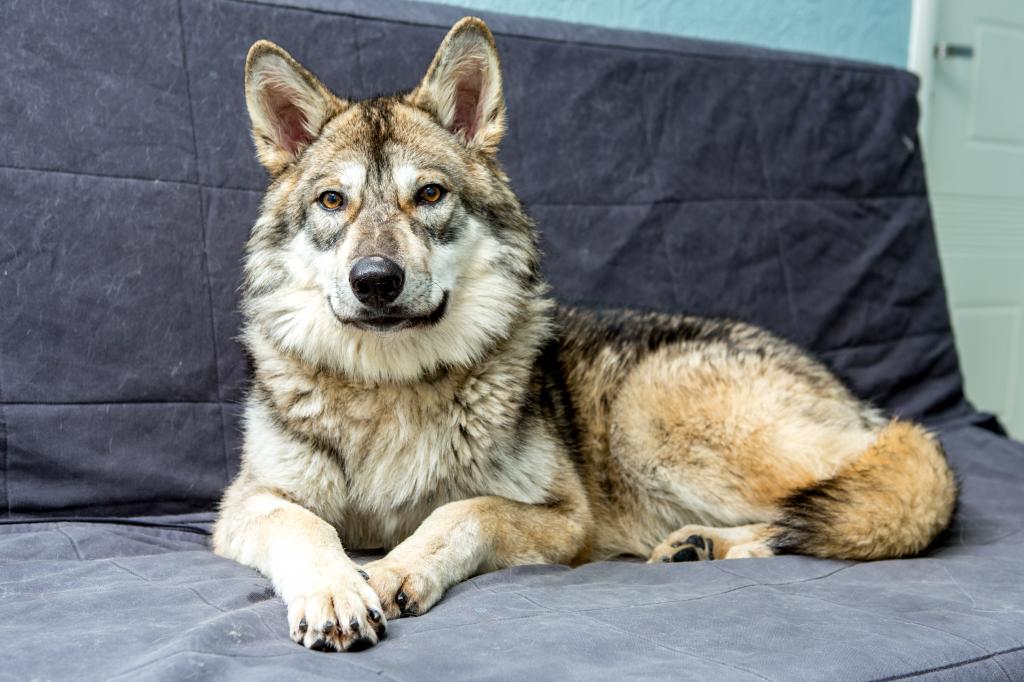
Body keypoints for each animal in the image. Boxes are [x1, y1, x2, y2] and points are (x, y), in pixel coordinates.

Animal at [212, 17, 958, 652]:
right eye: (332, 202)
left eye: (428, 195)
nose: (375, 280)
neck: (393, 385)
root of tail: (862, 406)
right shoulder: (247, 505)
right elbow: (307, 525)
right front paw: (336, 592)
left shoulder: (567, 519)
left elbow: (463, 513)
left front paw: (394, 570)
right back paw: (697, 546)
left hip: (653, 425)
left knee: (852, 504)